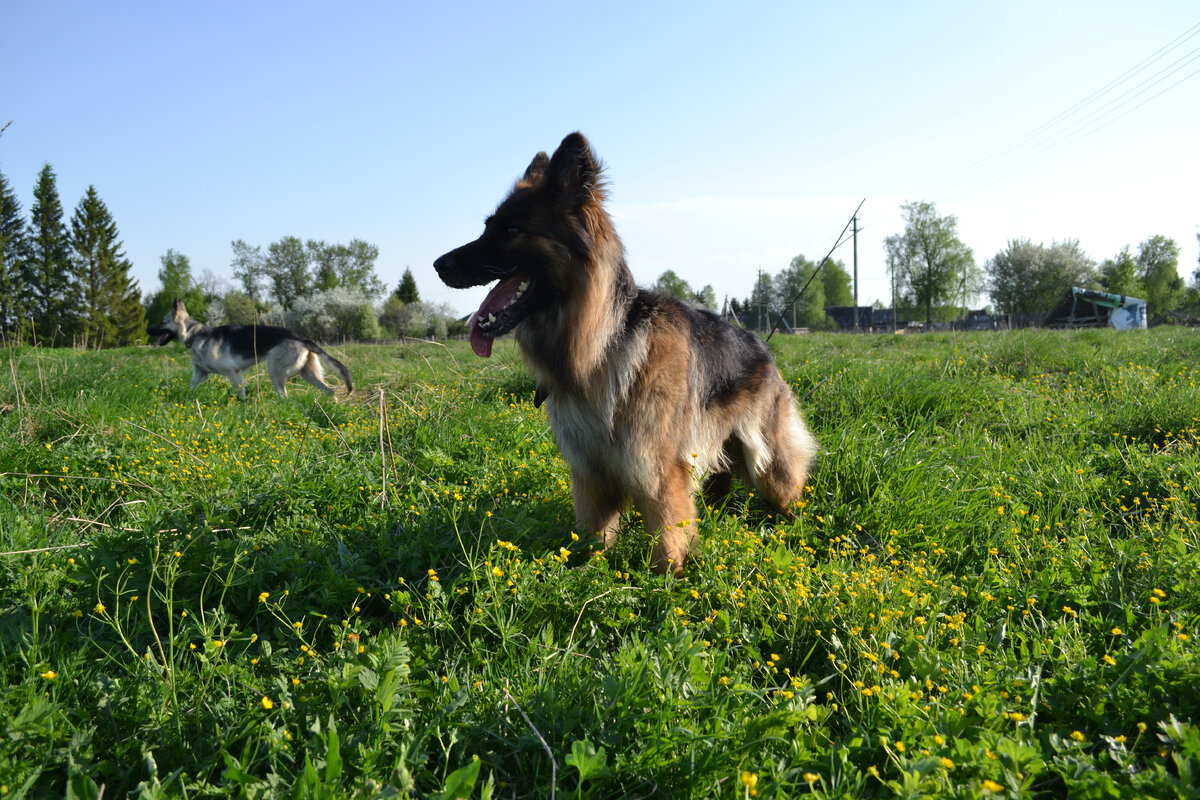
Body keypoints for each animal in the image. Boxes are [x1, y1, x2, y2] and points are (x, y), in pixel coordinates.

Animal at [148, 298, 350, 398]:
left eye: (162, 322)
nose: (148, 329)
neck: (195, 334)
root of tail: (301, 337)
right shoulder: (199, 373)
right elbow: (191, 388)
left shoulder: (234, 373)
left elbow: (241, 395)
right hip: (307, 374)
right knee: (330, 391)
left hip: (275, 371)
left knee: (284, 395)